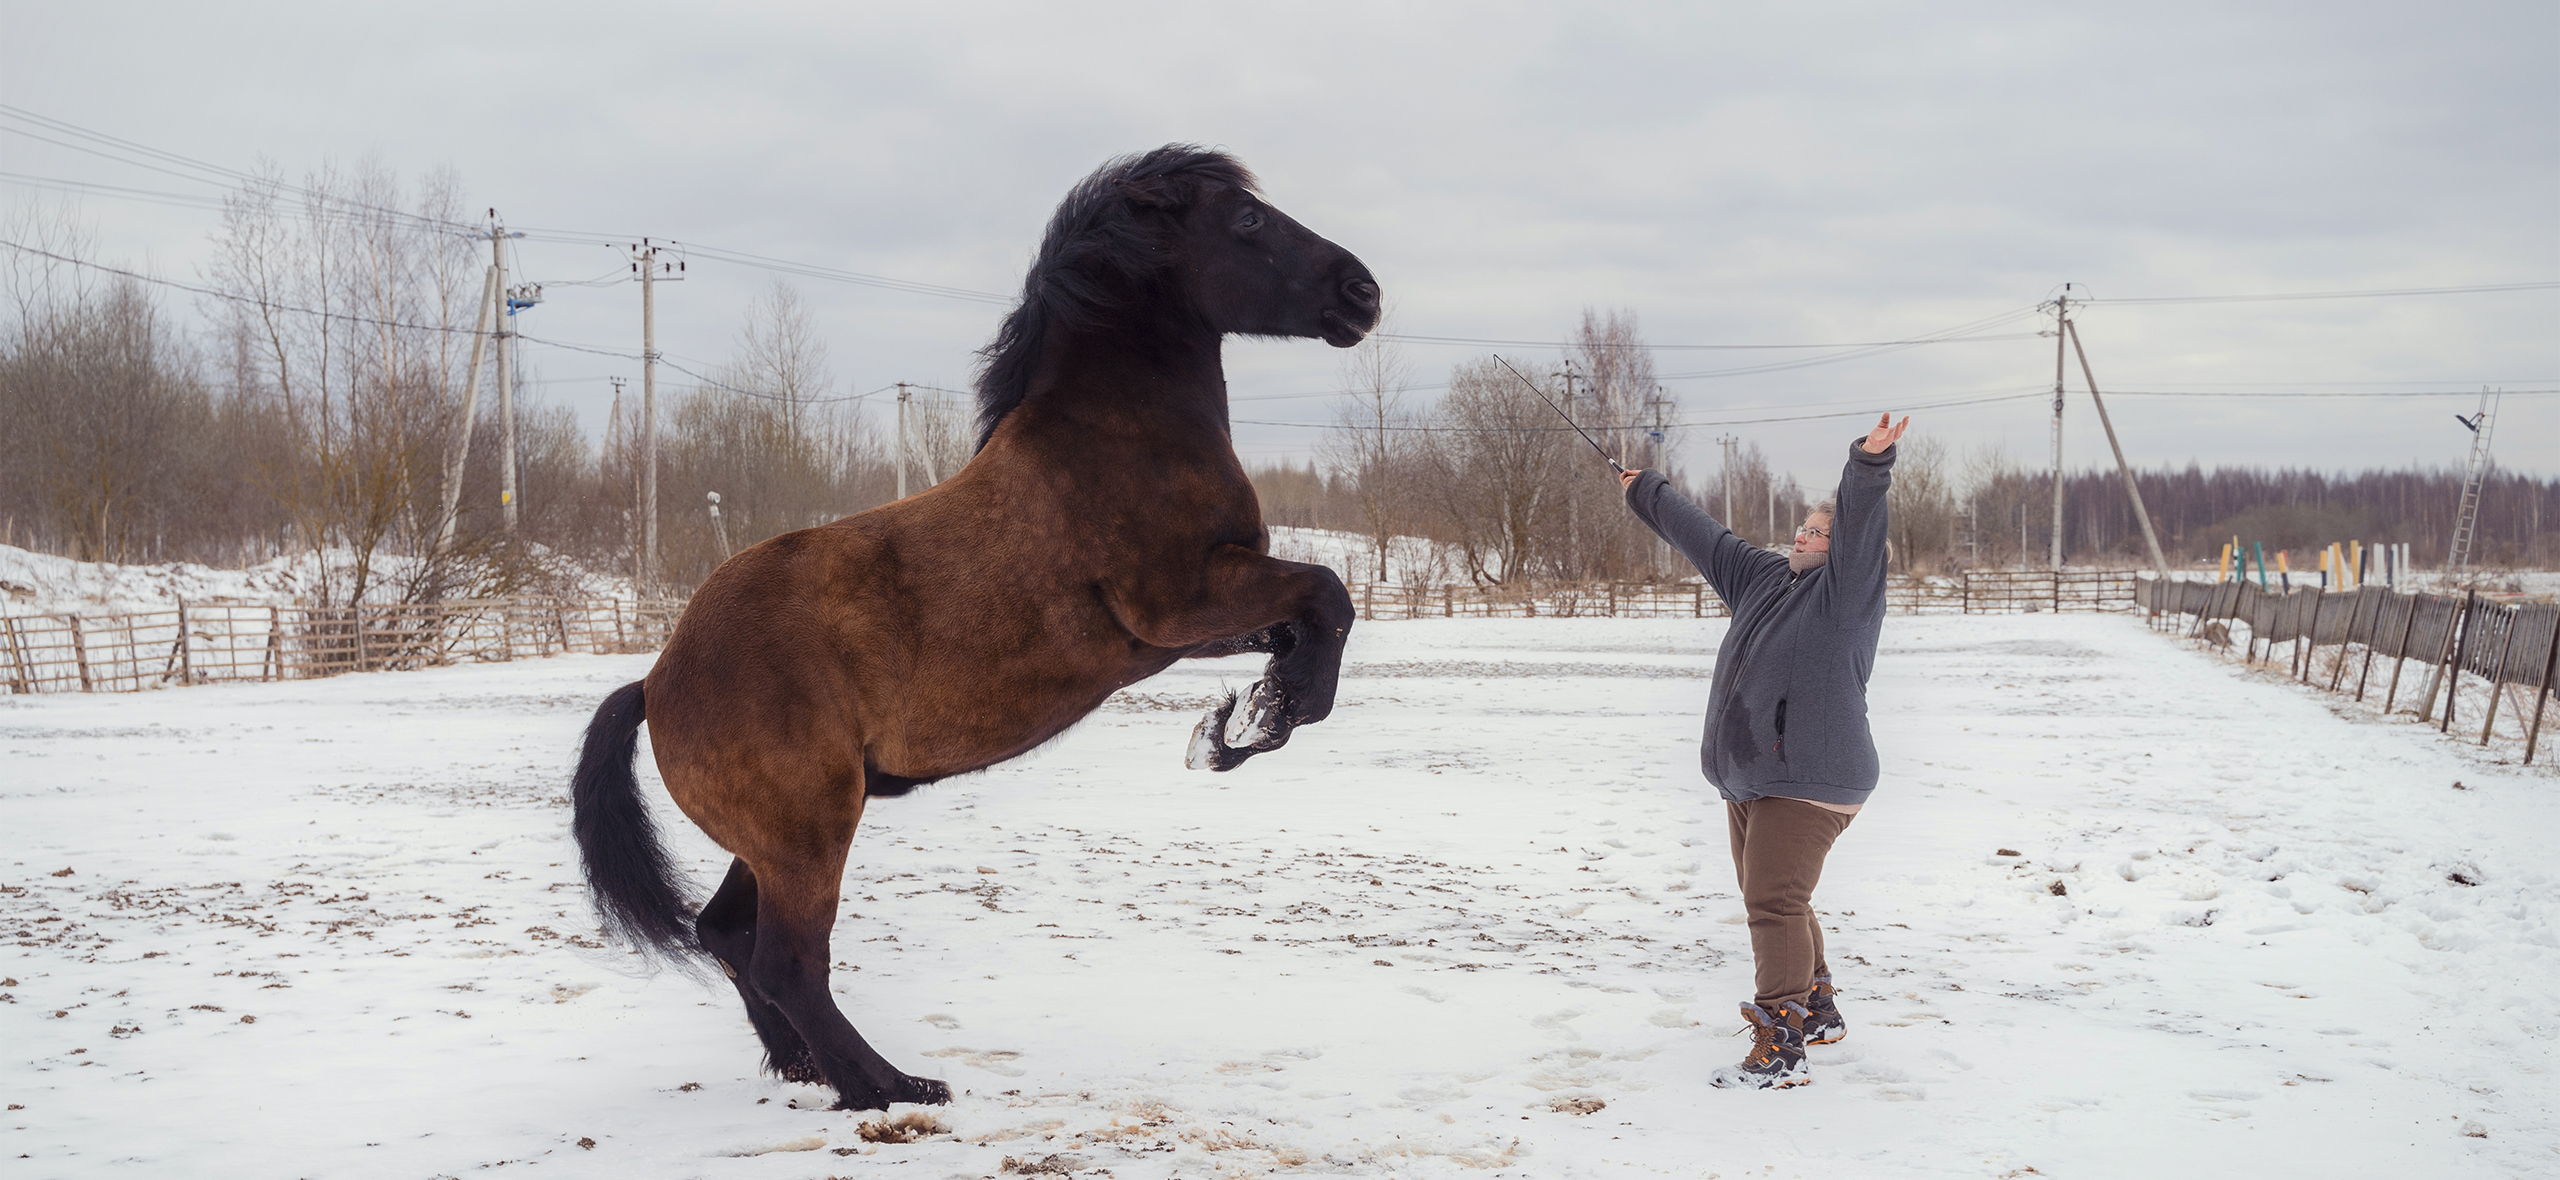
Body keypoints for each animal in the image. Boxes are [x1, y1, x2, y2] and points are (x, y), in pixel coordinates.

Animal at [573, 144, 1382, 1105]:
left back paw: (806, 1067)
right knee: (787, 962)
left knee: (726, 935)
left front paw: (1243, 722)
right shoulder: (1181, 599)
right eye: (1249, 221)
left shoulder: (1187, 629)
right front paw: (1273, 716)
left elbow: (1303, 623)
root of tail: (655, 682)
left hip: (773, 842)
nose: (1362, 292)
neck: (1119, 439)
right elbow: (1330, 594)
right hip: (808, 837)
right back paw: (888, 1086)